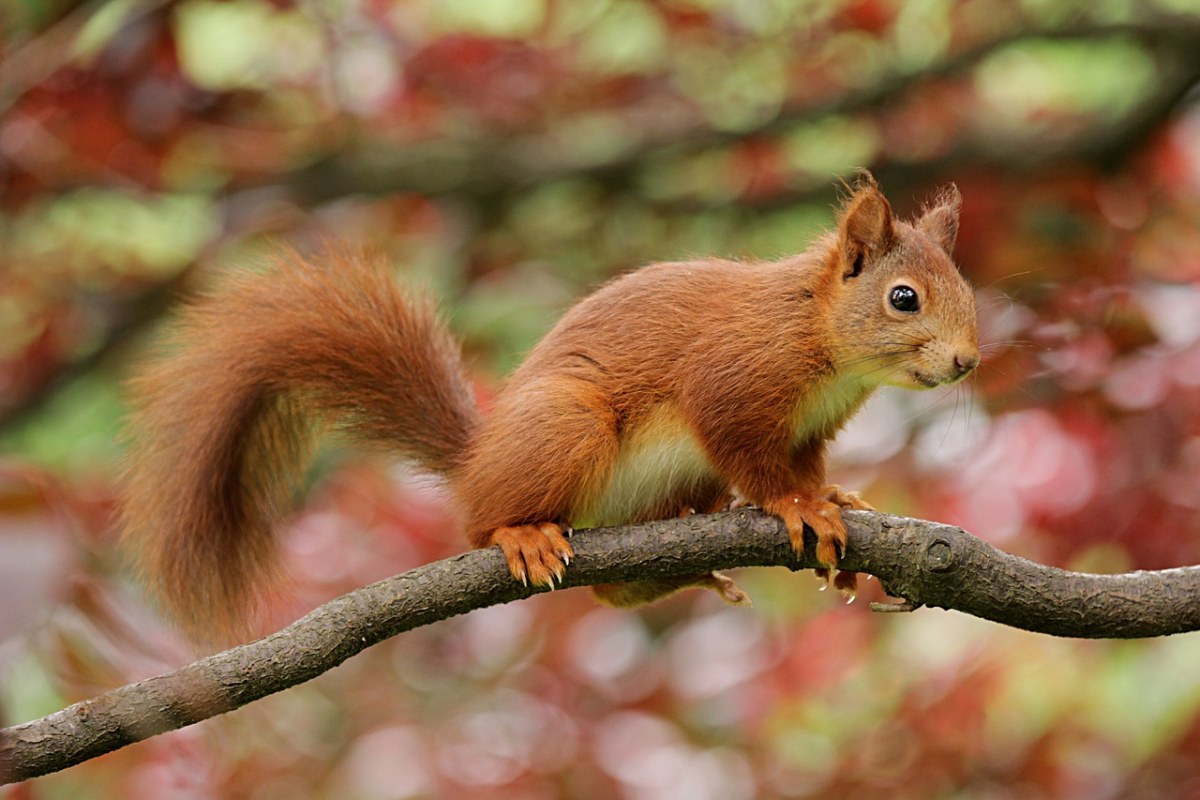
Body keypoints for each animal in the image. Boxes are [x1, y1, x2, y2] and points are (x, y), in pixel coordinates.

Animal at [121, 176, 979, 642]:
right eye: (904, 298)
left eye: (966, 289)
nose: (968, 361)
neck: (819, 335)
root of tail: (477, 460)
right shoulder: (732, 381)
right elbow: (751, 456)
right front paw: (799, 505)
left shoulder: (812, 425)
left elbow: (806, 462)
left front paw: (832, 495)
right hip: (565, 425)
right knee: (482, 521)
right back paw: (521, 533)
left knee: (612, 590)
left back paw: (690, 564)